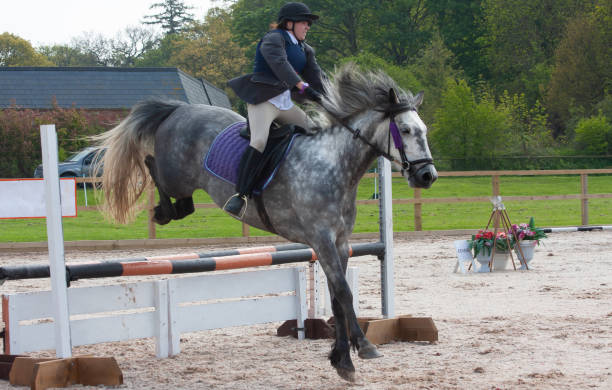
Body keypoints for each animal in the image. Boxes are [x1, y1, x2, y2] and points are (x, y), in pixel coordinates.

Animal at [95, 64, 438, 380]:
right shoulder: (322, 239)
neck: (334, 165)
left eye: (423, 129)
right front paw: (363, 347)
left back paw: (171, 211)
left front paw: (342, 359)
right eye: (405, 130)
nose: (427, 176)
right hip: (175, 174)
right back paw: (162, 212)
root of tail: (179, 109)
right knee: (151, 164)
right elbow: (343, 293)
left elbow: (337, 297)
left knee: (184, 201)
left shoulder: (339, 243)